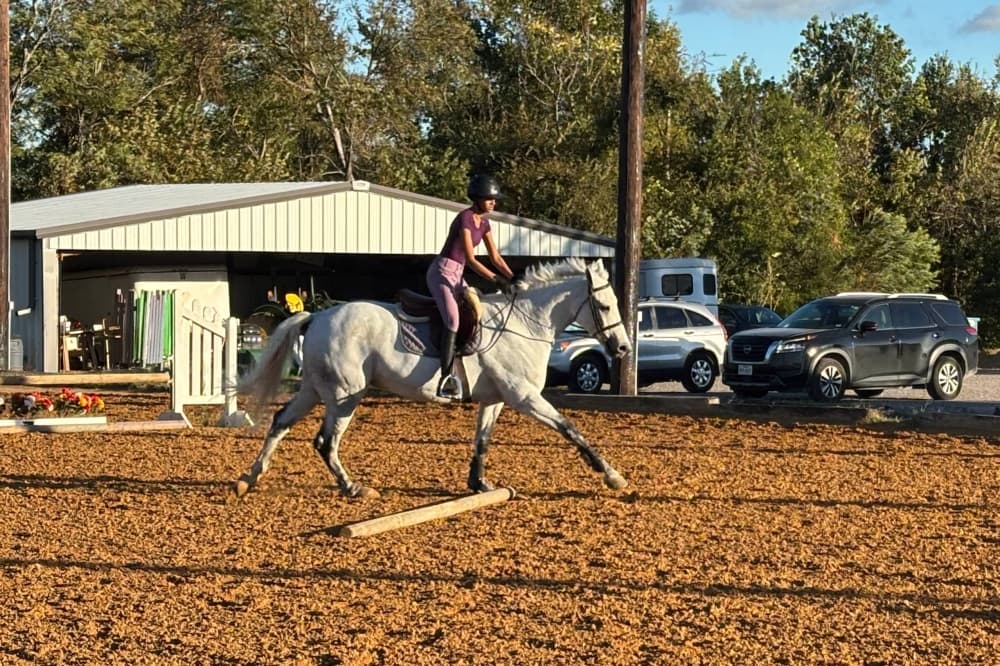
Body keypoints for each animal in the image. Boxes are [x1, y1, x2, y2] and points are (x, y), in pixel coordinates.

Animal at [234, 257, 632, 499]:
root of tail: (316, 317)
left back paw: (249, 478)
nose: (624, 348)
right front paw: (612, 475)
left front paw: (479, 483)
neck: (525, 323)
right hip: (346, 394)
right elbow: (571, 429)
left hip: (316, 390)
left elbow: (482, 441)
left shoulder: (495, 399)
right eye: (606, 305)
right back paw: (353, 488)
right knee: (325, 441)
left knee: (281, 422)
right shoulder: (525, 397)